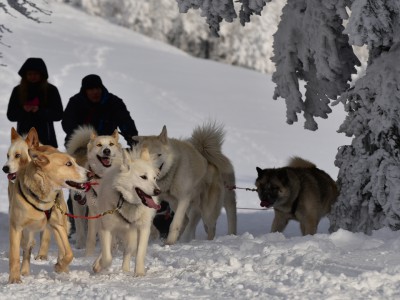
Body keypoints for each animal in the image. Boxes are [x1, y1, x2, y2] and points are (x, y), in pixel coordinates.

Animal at [7, 148, 92, 284]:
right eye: (68, 164)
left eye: (75, 162)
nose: (91, 174)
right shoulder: (16, 227)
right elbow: (14, 256)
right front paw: (14, 278)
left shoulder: (58, 225)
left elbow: (69, 253)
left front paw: (59, 266)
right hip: (27, 233)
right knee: (27, 248)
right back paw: (24, 271)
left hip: (59, 225)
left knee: (61, 249)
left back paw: (62, 267)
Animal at [93, 148, 161, 276]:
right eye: (143, 177)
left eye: (154, 178)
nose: (158, 191)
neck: (127, 202)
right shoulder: (106, 229)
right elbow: (107, 257)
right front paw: (99, 265)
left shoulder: (144, 229)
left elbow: (140, 253)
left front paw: (139, 273)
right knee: (112, 247)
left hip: (132, 235)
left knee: (127, 250)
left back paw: (125, 270)